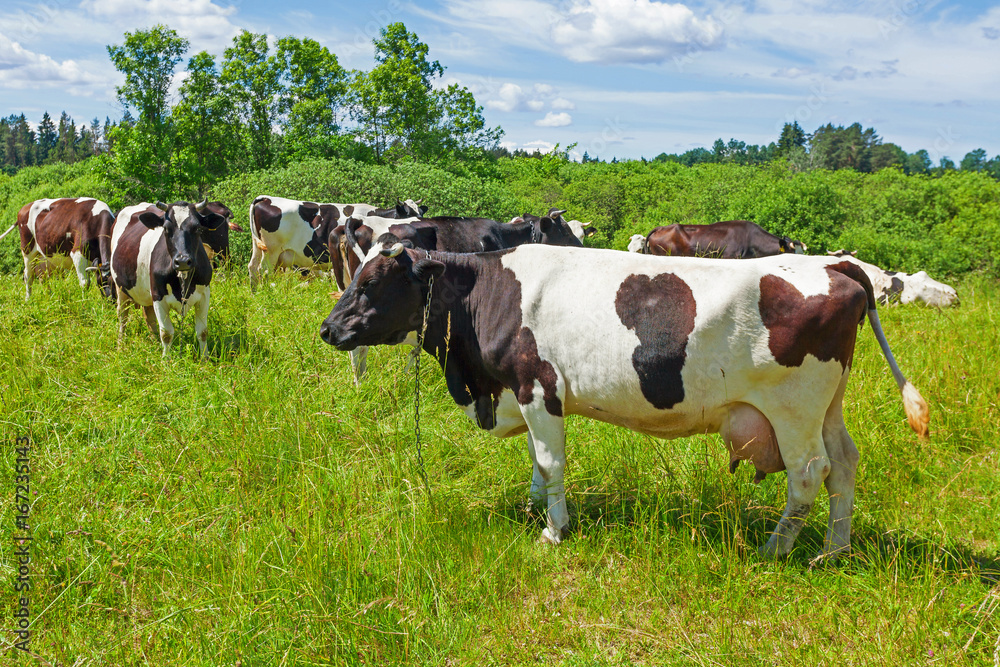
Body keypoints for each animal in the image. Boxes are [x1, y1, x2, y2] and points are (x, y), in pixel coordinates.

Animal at [113, 201, 225, 358]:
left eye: (197, 228)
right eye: (166, 228)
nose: (182, 261)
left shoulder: (204, 294)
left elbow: (202, 331)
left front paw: (205, 359)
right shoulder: (158, 296)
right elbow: (166, 333)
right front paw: (166, 360)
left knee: (149, 317)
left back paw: (154, 342)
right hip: (120, 288)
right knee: (122, 316)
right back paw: (120, 344)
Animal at [320, 240, 928, 560]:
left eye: (371, 283)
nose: (328, 328)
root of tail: (835, 263)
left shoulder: (538, 386)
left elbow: (551, 460)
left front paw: (554, 529)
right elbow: (537, 462)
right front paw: (535, 505)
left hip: (794, 409)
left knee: (808, 474)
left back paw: (774, 550)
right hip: (827, 405)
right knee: (844, 464)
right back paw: (834, 549)